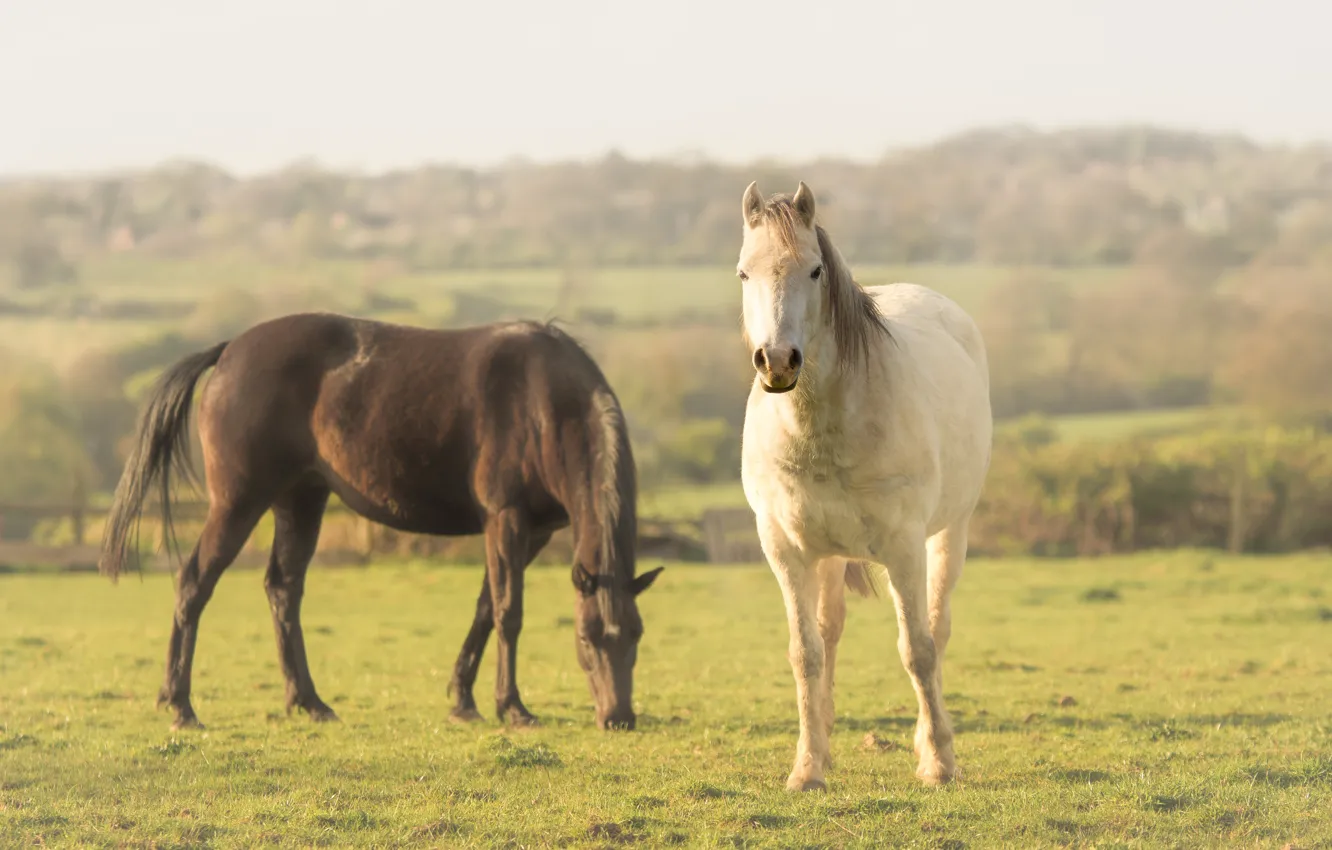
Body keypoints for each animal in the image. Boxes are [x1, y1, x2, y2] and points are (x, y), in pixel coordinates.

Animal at [101, 313, 663, 735]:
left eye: (636, 633)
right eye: (587, 638)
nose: (618, 717)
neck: (543, 401)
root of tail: (230, 351)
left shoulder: (535, 531)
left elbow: (485, 608)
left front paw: (463, 701)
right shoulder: (506, 519)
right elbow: (508, 612)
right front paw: (512, 707)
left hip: (300, 499)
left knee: (283, 589)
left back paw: (308, 702)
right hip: (239, 503)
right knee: (194, 584)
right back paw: (181, 705)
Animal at [735, 179, 996, 794]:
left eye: (814, 271)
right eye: (744, 273)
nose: (777, 361)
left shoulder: (903, 547)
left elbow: (917, 649)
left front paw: (939, 762)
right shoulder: (785, 550)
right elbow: (805, 653)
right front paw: (807, 768)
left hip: (949, 533)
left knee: (936, 628)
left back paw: (929, 744)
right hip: (829, 555)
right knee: (829, 632)